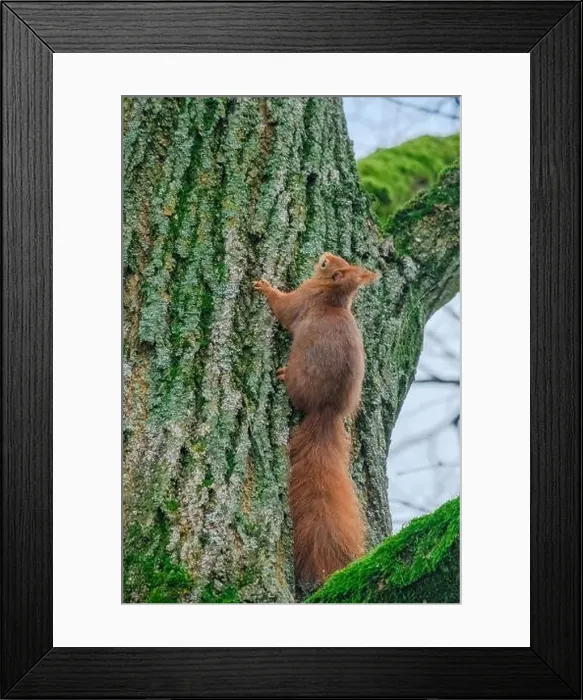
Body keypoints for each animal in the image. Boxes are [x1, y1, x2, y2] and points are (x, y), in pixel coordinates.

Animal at [253, 252, 380, 586]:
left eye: (326, 266)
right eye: (337, 260)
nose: (324, 255)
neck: (332, 296)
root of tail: (326, 412)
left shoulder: (302, 299)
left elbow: (283, 308)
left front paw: (265, 287)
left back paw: (283, 376)